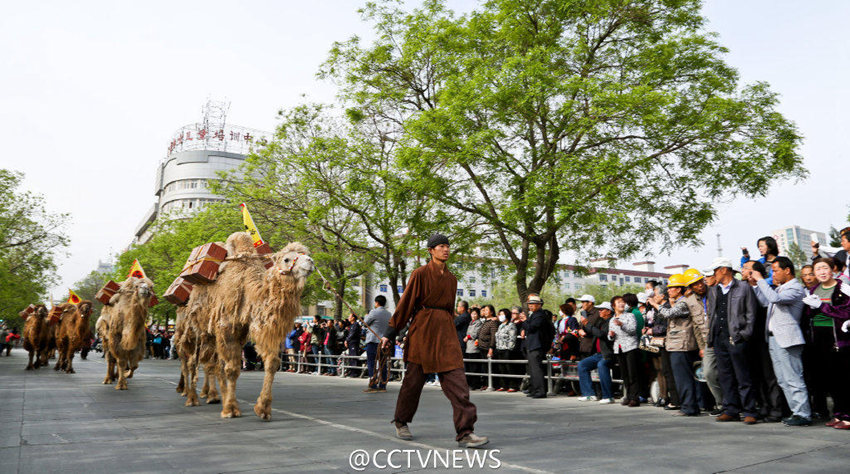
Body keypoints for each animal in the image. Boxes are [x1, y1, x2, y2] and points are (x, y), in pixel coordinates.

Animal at [187, 231, 314, 420]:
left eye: (306, 253)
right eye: (286, 259)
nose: (310, 262)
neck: (249, 292)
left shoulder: (256, 329)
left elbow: (272, 362)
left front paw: (263, 408)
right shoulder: (226, 326)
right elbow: (232, 369)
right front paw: (230, 409)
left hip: (213, 335)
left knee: (213, 364)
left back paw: (214, 396)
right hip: (197, 328)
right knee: (194, 361)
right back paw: (193, 398)